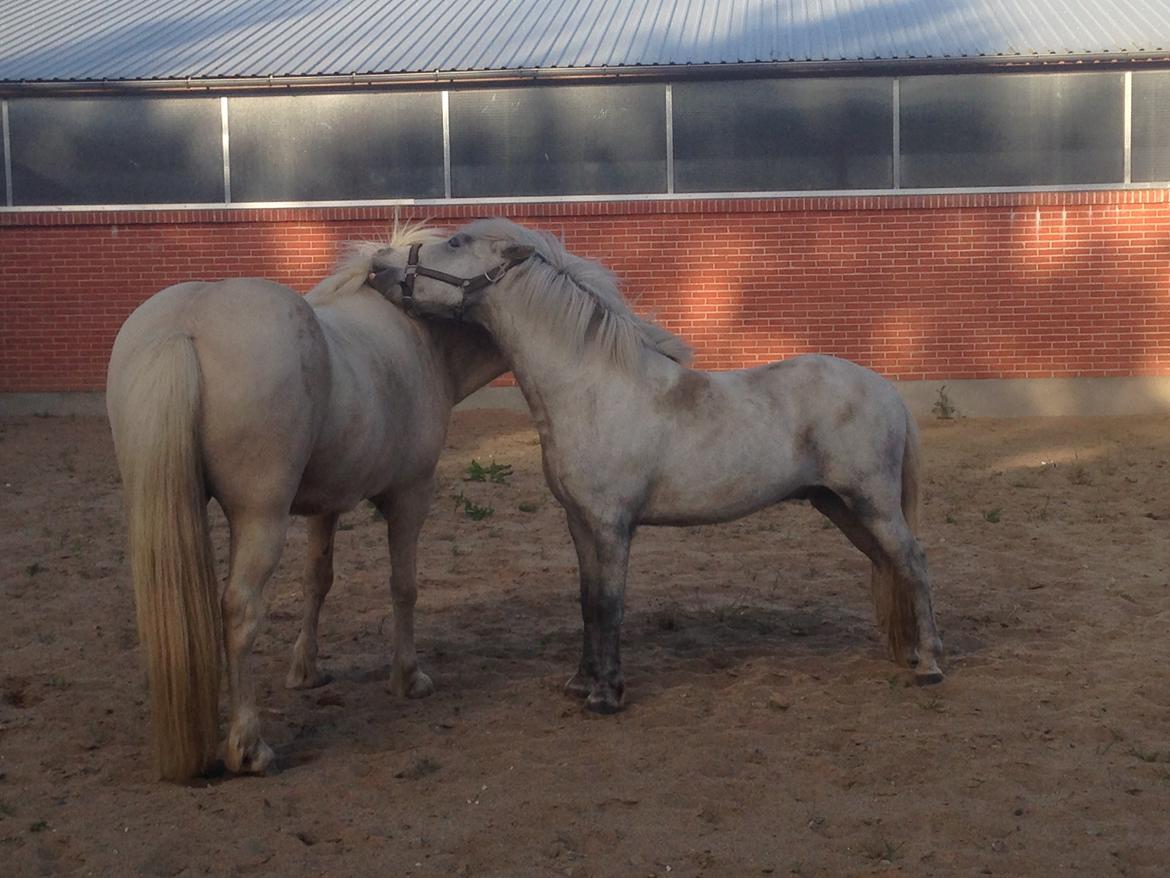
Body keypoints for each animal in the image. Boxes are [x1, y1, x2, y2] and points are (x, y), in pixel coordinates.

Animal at [102, 223, 500, 782]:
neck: (420, 337)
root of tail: (186, 325)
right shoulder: (411, 496)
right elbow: (403, 587)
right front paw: (408, 677)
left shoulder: (325, 505)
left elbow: (318, 580)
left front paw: (305, 670)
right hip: (260, 519)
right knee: (240, 609)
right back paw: (249, 746)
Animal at [369, 218, 945, 716]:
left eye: (456, 242)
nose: (379, 268)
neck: (591, 388)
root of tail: (888, 390)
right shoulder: (580, 523)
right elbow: (587, 601)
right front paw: (580, 682)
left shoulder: (612, 525)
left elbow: (609, 604)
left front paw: (606, 695)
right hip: (839, 505)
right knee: (888, 563)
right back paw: (910, 654)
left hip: (871, 502)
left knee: (913, 563)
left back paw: (931, 665)